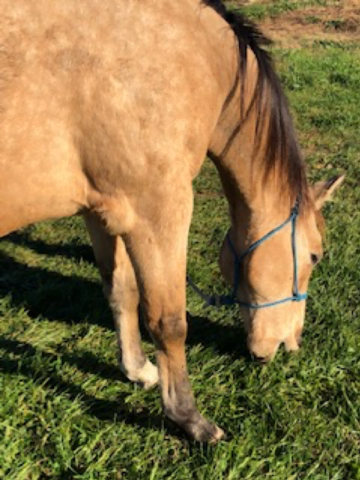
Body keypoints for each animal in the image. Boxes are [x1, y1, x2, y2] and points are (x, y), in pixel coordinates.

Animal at [0, 0, 344, 442]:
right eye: (316, 257)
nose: (291, 343)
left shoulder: (105, 210)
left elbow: (121, 291)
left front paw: (136, 369)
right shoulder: (158, 208)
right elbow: (169, 322)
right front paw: (188, 418)